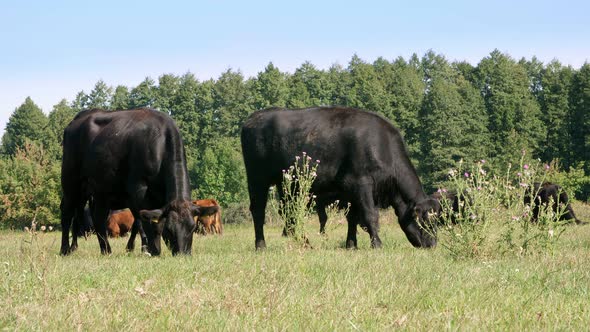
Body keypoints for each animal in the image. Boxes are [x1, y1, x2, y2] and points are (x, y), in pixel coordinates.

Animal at [60, 107, 220, 255]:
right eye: (170, 229)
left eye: (192, 228)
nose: (183, 254)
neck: (160, 144)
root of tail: (80, 117)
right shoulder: (139, 189)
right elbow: (147, 222)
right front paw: (152, 250)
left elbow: (147, 221)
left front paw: (145, 248)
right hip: (71, 181)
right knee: (68, 212)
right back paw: (66, 249)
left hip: (99, 189)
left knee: (97, 216)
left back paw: (106, 250)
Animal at [240, 106, 440, 249]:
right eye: (425, 221)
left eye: (438, 221)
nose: (432, 244)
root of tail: (254, 118)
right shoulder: (362, 184)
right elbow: (370, 215)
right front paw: (377, 244)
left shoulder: (351, 191)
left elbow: (352, 218)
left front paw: (351, 245)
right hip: (257, 180)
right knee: (259, 211)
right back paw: (261, 245)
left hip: (287, 186)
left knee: (290, 214)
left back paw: (305, 244)